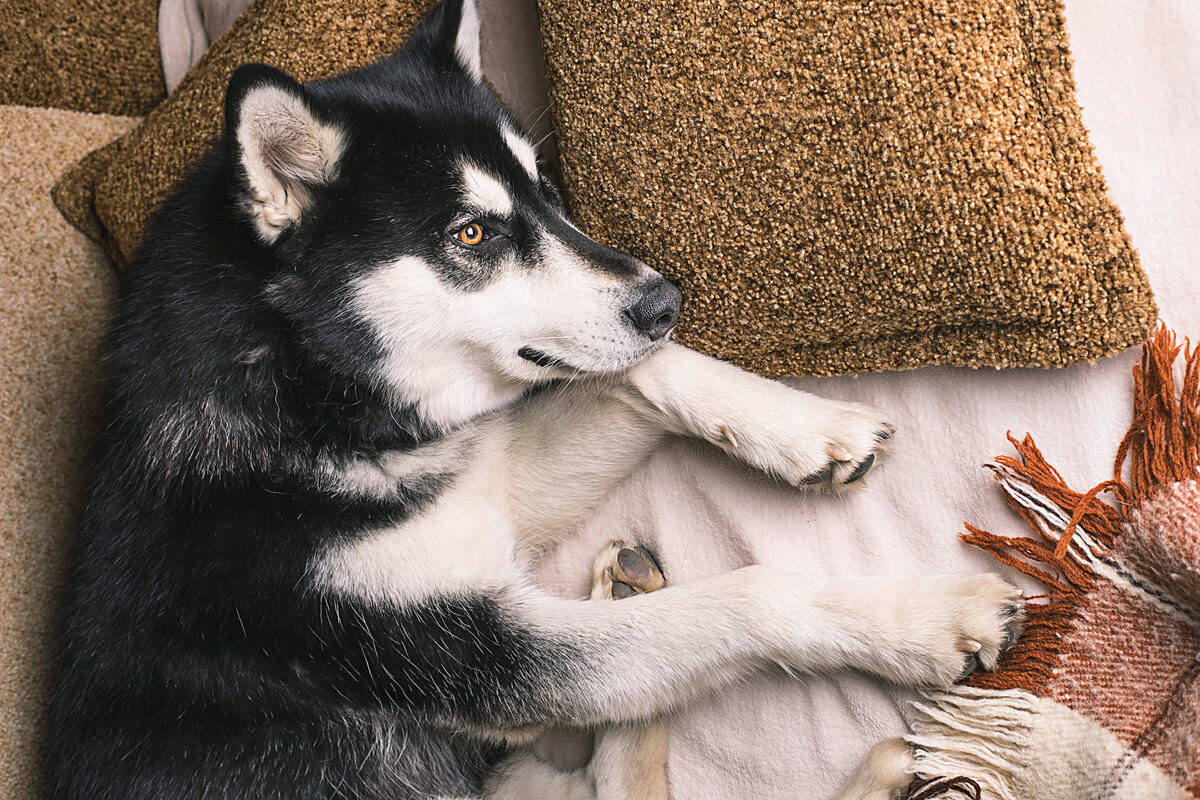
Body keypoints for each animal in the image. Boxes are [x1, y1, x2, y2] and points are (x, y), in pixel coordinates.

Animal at [46, 3, 1022, 796]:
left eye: (545, 192)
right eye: (473, 234)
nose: (666, 301)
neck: (308, 399)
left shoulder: (491, 499)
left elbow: (640, 372)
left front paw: (807, 427)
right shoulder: (479, 655)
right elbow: (747, 599)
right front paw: (923, 620)